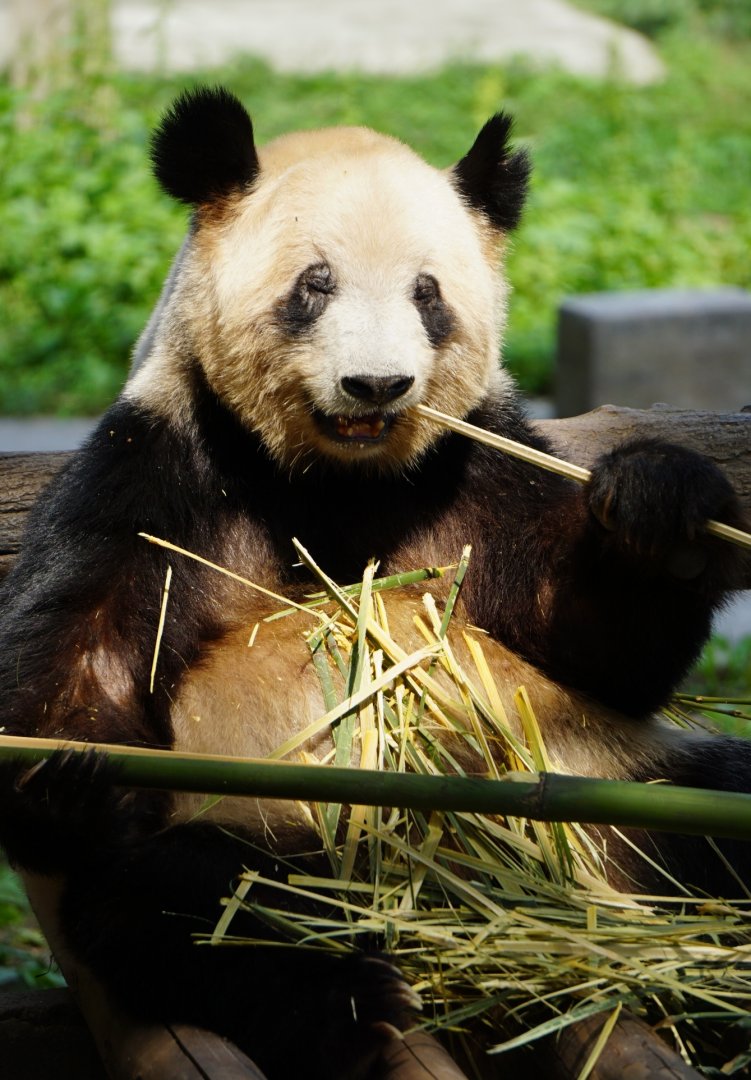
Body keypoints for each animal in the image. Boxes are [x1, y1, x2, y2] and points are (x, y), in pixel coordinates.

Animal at [0, 87, 749, 1079]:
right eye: (313, 286)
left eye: (426, 294)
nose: (377, 386)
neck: (335, 478)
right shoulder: (162, 465)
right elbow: (64, 679)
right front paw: (75, 779)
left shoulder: (471, 465)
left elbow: (597, 649)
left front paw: (659, 511)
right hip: (268, 823)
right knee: (186, 905)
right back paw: (345, 991)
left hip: (611, 777)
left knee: (719, 808)